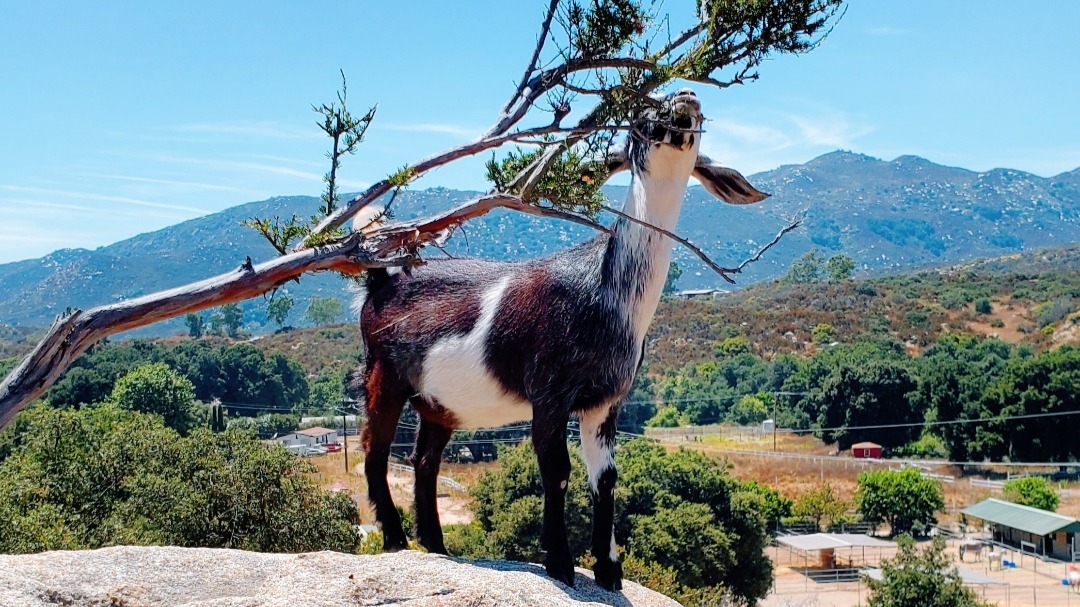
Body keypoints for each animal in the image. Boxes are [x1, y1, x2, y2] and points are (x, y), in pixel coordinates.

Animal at [354, 88, 768, 590]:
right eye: (641, 117)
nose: (686, 97)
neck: (606, 296)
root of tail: (382, 280)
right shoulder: (549, 391)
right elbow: (557, 470)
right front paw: (560, 563)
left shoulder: (605, 401)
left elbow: (605, 477)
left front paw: (609, 569)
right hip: (384, 373)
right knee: (375, 449)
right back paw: (395, 538)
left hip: (438, 402)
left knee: (424, 460)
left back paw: (435, 545)